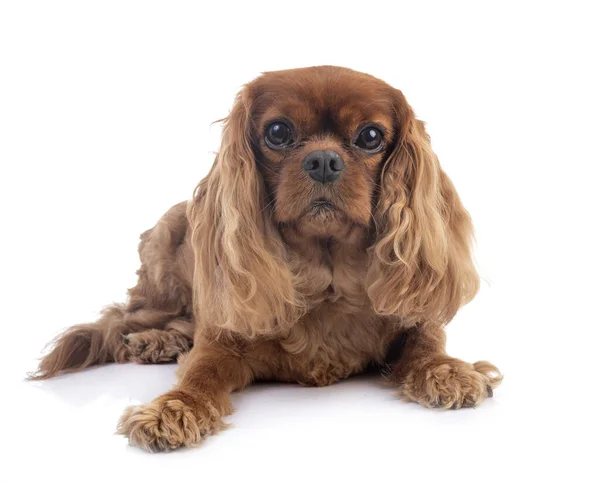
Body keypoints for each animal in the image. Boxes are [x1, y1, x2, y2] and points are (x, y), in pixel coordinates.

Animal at [31, 65, 502, 452]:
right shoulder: (221, 339)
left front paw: (447, 370)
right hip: (163, 265)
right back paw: (153, 341)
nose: (324, 160)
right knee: (123, 319)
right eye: (278, 132)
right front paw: (174, 408)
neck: (326, 276)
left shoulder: (412, 318)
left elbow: (427, 342)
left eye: (370, 136)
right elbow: (201, 371)